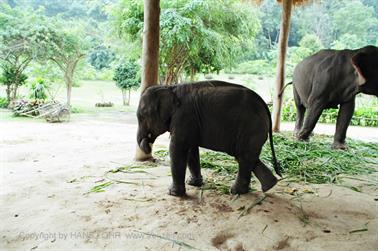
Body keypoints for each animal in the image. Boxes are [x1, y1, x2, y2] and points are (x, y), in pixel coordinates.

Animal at [136, 80, 280, 196]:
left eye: (142, 116)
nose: (148, 142)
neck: (170, 88)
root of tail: (265, 106)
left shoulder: (183, 117)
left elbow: (177, 148)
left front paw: (173, 194)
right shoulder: (190, 123)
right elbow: (191, 149)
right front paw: (193, 184)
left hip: (251, 129)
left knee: (244, 157)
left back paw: (235, 191)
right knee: (246, 157)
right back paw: (269, 186)